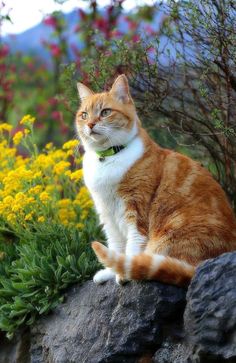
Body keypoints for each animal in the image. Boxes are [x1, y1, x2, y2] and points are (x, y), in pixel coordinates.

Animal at [75, 74, 236, 288]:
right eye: (84, 115)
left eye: (105, 112)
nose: (90, 124)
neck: (108, 159)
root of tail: (197, 270)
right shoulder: (107, 214)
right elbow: (116, 246)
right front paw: (110, 271)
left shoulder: (136, 209)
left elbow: (132, 246)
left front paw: (125, 271)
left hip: (170, 233)